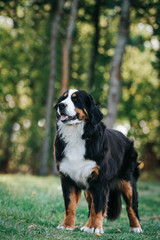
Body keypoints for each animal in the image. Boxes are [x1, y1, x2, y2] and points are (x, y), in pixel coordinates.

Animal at [53, 89, 142, 233]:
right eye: (63, 98)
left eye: (76, 99)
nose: (61, 105)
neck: (76, 136)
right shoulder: (68, 178)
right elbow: (70, 205)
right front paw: (67, 225)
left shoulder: (100, 181)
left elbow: (99, 206)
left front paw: (94, 227)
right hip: (89, 189)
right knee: (91, 205)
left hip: (128, 182)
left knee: (131, 206)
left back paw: (136, 227)